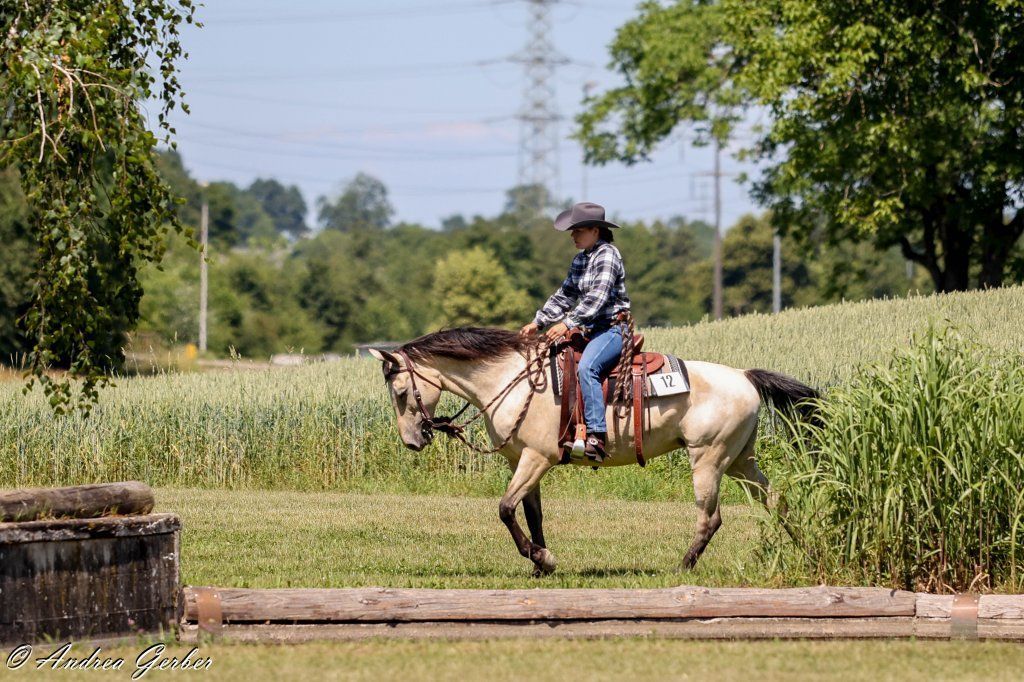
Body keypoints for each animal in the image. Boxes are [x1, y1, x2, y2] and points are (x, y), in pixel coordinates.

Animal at [369, 326, 818, 577]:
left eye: (402, 391)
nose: (412, 441)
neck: (512, 380)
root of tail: (744, 376)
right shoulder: (522, 461)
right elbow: (531, 513)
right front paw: (541, 564)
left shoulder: (538, 458)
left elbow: (505, 509)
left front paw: (541, 558)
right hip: (742, 461)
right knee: (777, 501)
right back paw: (808, 548)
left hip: (709, 459)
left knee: (711, 518)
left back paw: (681, 567)